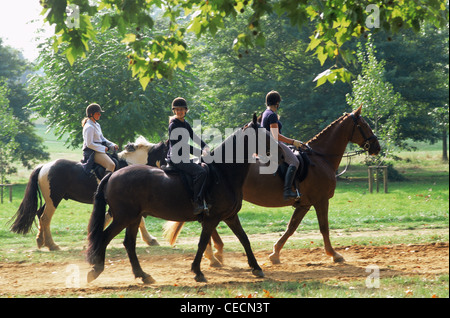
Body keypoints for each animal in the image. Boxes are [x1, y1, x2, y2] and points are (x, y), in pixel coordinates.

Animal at [10, 135, 163, 250]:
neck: (129, 166)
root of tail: (44, 166)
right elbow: (136, 220)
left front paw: (150, 240)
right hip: (54, 199)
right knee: (45, 218)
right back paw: (52, 245)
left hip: (50, 200)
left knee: (39, 213)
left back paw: (40, 240)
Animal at [85, 115, 278, 284]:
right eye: (263, 135)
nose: (277, 151)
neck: (222, 174)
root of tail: (113, 175)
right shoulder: (212, 219)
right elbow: (202, 243)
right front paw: (198, 271)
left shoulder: (230, 217)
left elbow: (244, 239)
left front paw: (256, 268)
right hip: (124, 217)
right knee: (105, 238)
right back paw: (96, 270)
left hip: (133, 218)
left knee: (129, 244)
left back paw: (143, 275)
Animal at [158, 104, 380, 264]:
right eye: (364, 125)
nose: (377, 147)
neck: (320, 158)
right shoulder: (320, 200)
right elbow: (324, 227)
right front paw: (334, 255)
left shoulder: (304, 203)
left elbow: (291, 227)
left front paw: (275, 253)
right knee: (211, 223)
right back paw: (214, 255)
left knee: (211, 223)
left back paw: (215, 254)